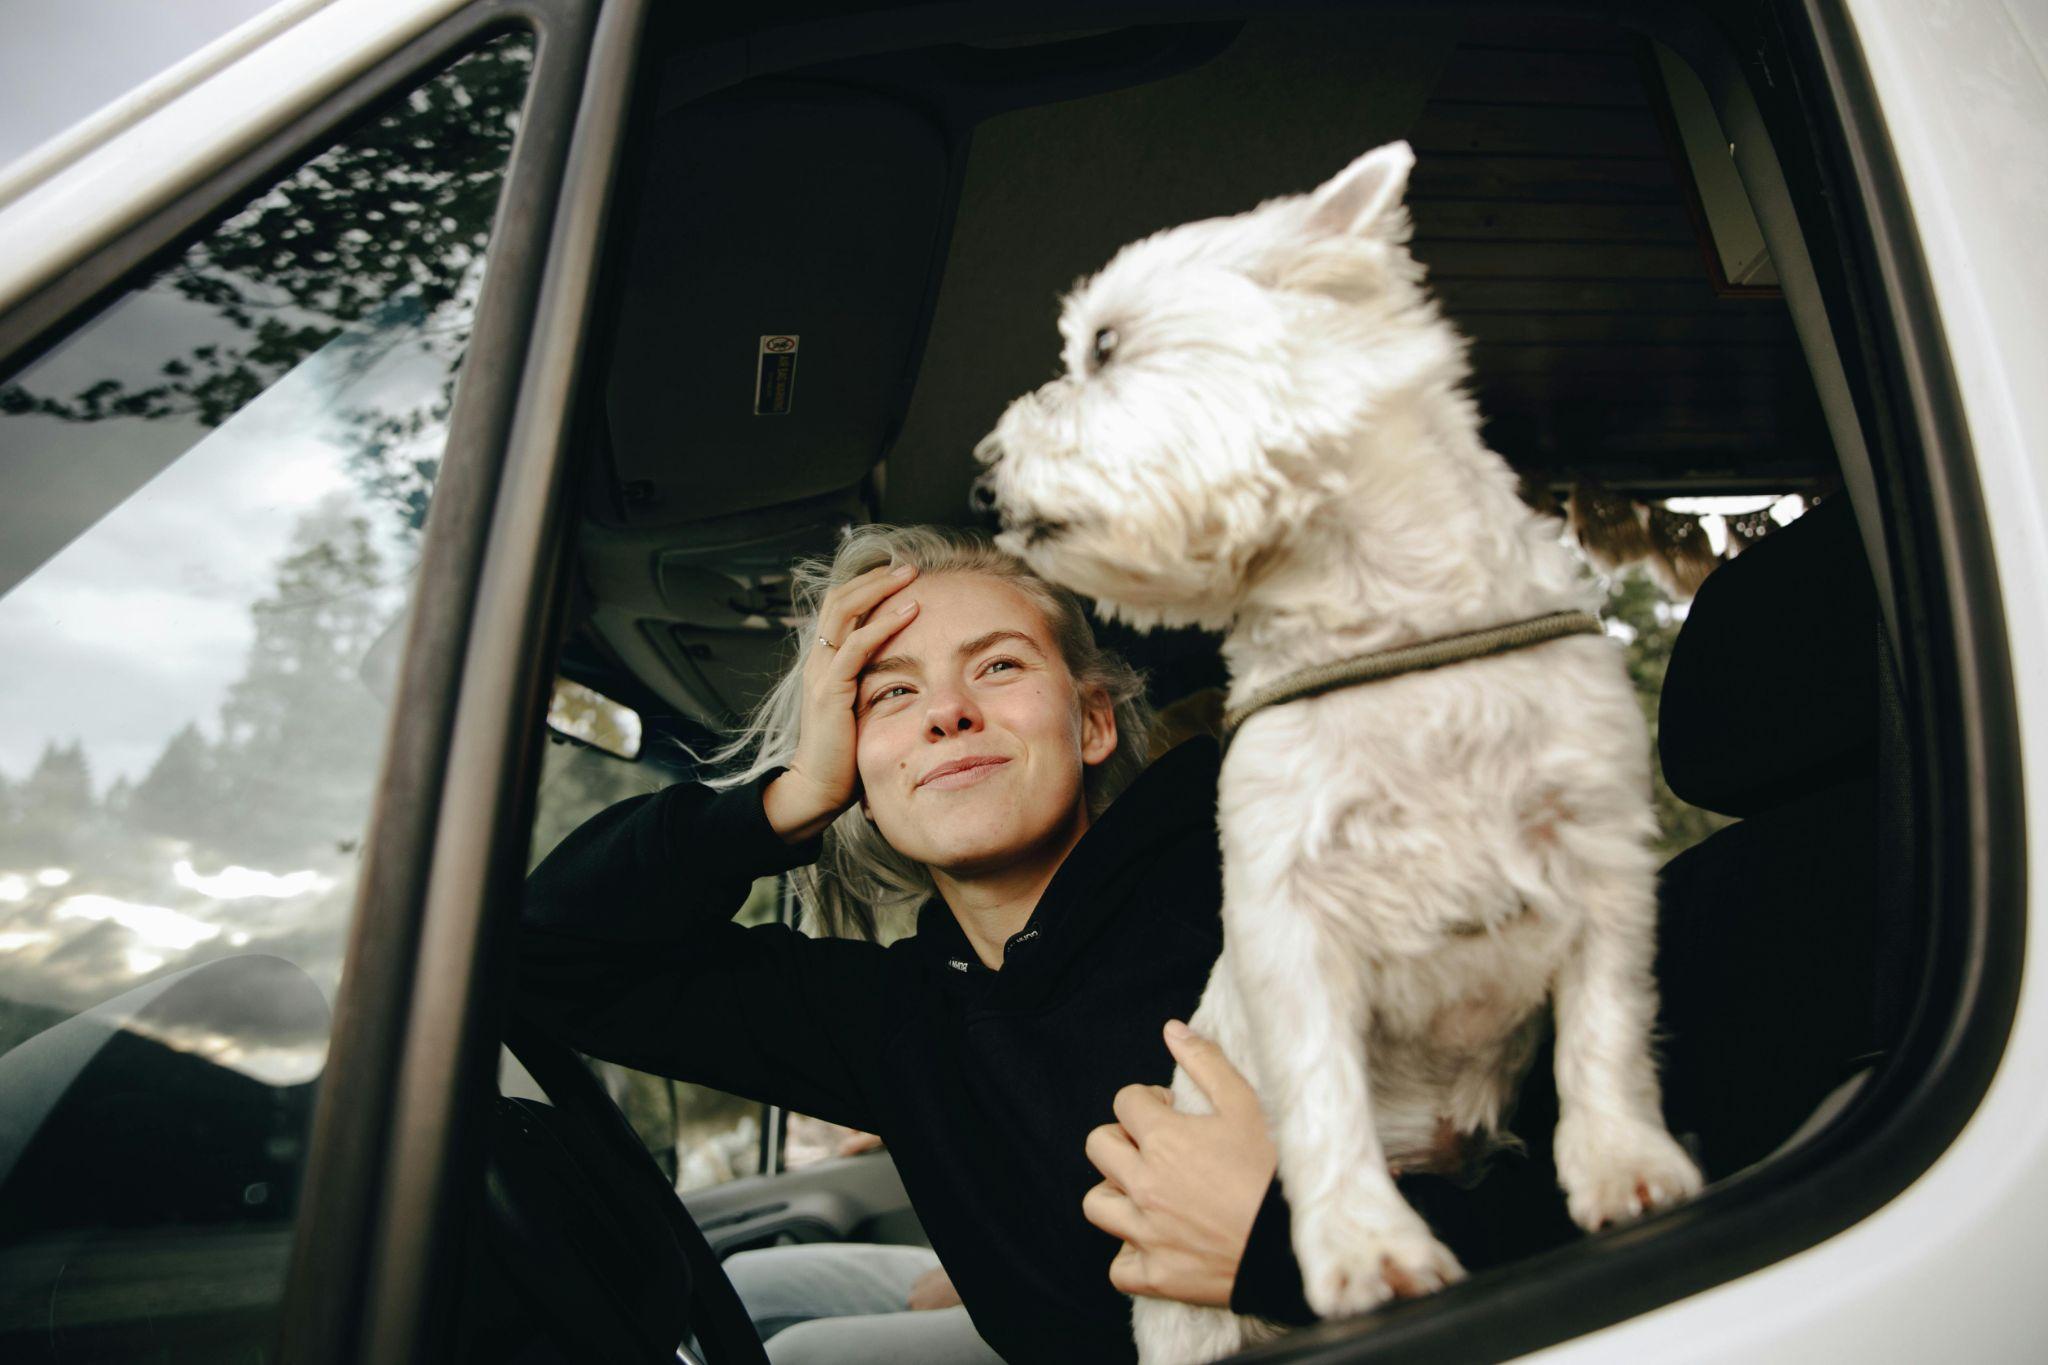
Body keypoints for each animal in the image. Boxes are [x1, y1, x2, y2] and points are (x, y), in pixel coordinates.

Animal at [970, 144, 1695, 1358]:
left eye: (1106, 346)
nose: (983, 477)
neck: (1387, 632)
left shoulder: (1599, 852)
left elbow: (1607, 1029)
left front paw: (1627, 1169)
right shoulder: (1286, 905)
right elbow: (1318, 1092)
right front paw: (1365, 1249)